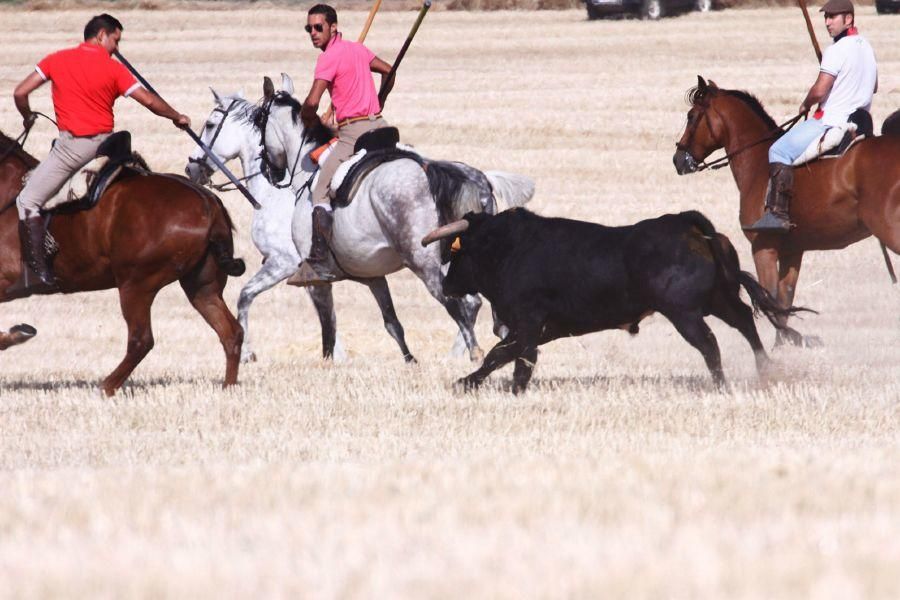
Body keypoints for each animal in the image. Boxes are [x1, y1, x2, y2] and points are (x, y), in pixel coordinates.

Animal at [0, 130, 244, 394]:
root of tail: (208, 203)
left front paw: (17, 333)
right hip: (202, 286)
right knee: (231, 332)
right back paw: (229, 388)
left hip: (136, 284)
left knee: (141, 340)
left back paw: (106, 387)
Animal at [255, 72, 536, 358]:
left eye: (258, 121)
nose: (269, 171)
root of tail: (436, 170)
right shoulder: (373, 276)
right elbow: (392, 322)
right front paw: (410, 360)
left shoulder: (317, 281)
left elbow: (328, 328)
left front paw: (327, 363)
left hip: (424, 261)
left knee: (459, 302)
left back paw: (476, 352)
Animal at [422, 207, 808, 394]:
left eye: (458, 251)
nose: (447, 283)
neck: (508, 249)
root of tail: (688, 225)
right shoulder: (541, 327)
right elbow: (513, 356)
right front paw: (496, 386)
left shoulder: (528, 320)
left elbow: (507, 355)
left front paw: (474, 384)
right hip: (719, 298)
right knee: (745, 321)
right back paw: (765, 370)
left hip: (683, 313)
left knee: (710, 343)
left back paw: (722, 386)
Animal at [676, 76, 900, 346]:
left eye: (691, 116)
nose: (678, 159)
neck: (758, 163)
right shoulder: (792, 251)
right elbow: (785, 301)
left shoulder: (763, 248)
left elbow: (772, 300)